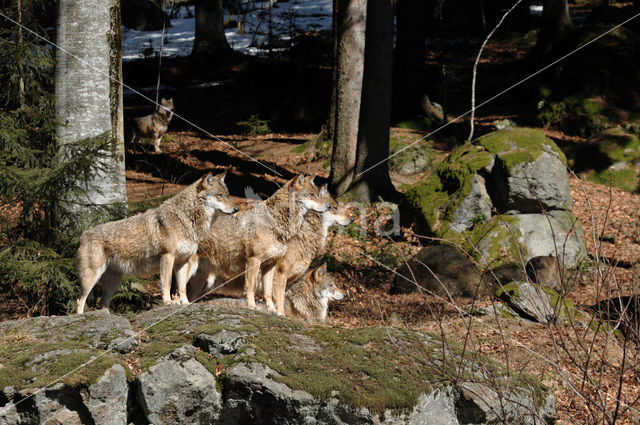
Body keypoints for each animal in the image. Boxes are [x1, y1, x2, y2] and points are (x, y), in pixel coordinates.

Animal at [75, 171, 235, 314]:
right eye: (220, 196)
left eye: (227, 195)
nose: (236, 209)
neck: (185, 220)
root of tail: (82, 235)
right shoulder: (167, 257)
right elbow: (167, 284)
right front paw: (168, 303)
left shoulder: (183, 261)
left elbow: (182, 287)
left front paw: (185, 303)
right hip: (91, 278)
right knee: (80, 301)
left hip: (113, 282)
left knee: (103, 304)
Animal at [181, 174, 328, 310]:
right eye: (312, 195)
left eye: (318, 195)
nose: (329, 206)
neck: (275, 222)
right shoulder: (254, 260)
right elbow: (251, 287)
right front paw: (252, 306)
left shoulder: (270, 265)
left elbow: (268, 293)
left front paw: (274, 311)